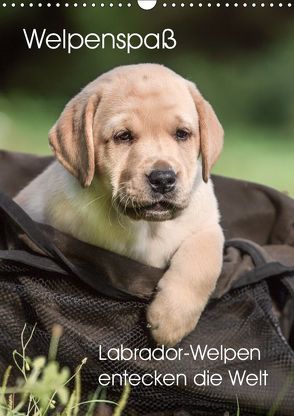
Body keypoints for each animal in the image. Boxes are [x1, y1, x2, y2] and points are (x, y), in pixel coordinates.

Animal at [14, 63, 224, 346]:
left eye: (182, 134)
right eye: (123, 136)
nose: (163, 179)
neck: (147, 228)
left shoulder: (208, 225)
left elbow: (202, 261)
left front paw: (172, 318)